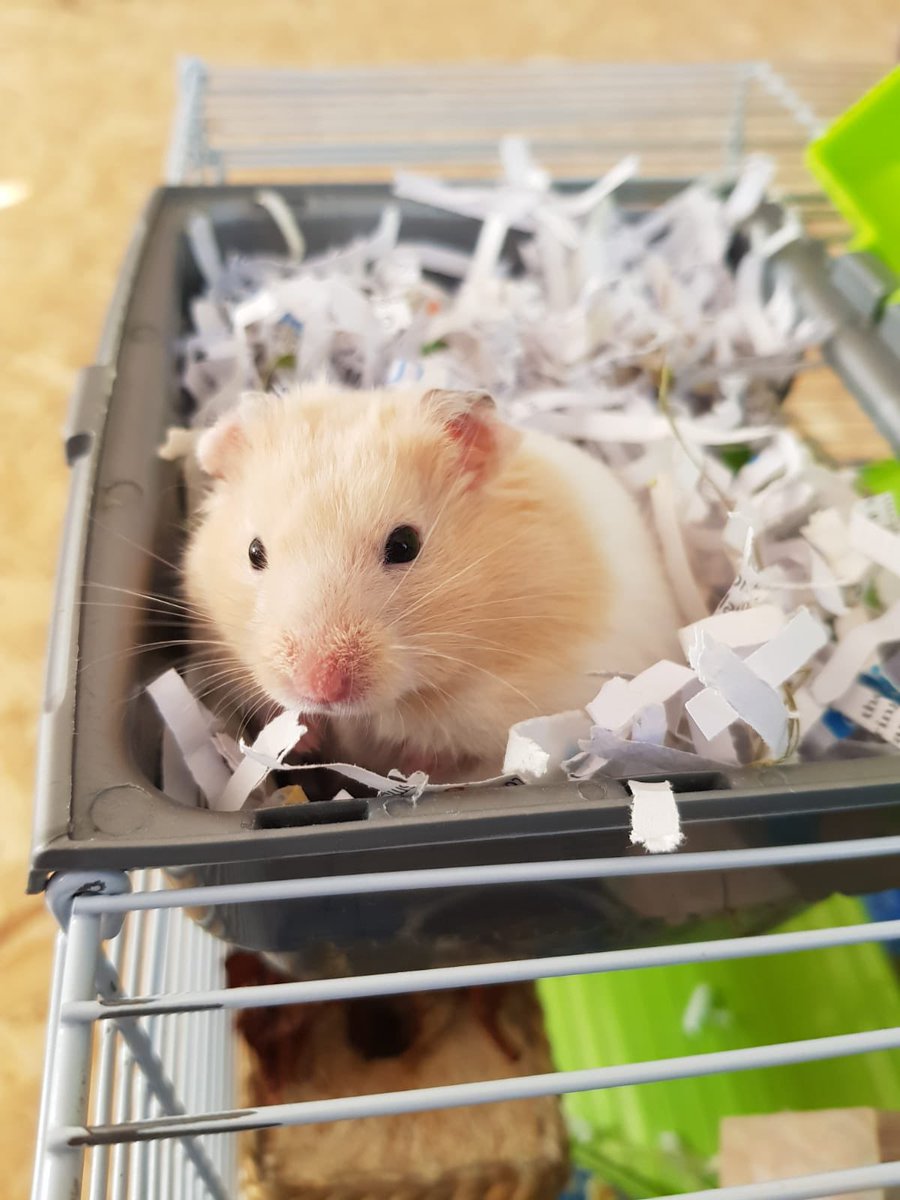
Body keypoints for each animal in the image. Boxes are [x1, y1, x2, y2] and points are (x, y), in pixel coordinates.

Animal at [183, 383, 681, 784]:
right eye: (254, 552)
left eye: (405, 544)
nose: (319, 688)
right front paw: (304, 738)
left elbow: (447, 745)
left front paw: (411, 767)